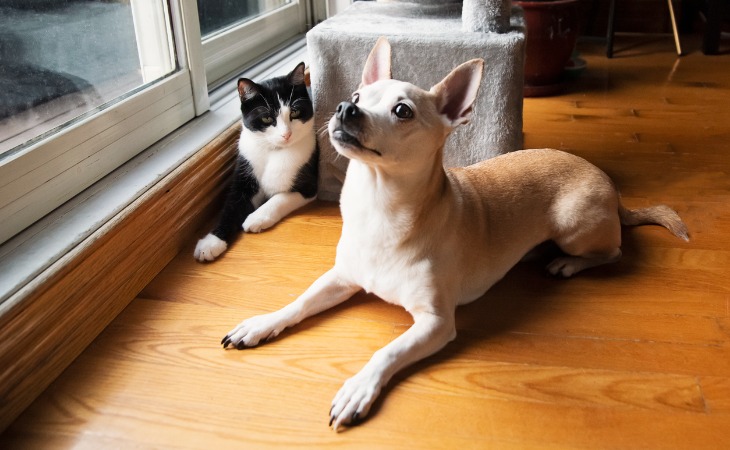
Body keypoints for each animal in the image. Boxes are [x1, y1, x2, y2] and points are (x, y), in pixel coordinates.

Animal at [195, 61, 318, 262]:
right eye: (267, 118)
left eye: (295, 112)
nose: (286, 134)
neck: (273, 152)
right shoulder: (244, 170)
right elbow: (231, 206)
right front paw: (211, 242)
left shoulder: (308, 185)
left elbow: (280, 197)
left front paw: (256, 218)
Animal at [219, 37, 684, 430]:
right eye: (357, 97)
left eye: (403, 111)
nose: (344, 108)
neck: (379, 207)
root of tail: (611, 188)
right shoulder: (341, 277)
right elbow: (298, 303)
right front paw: (262, 323)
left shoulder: (436, 323)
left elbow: (387, 350)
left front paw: (358, 387)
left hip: (574, 224)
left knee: (613, 252)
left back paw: (566, 263)